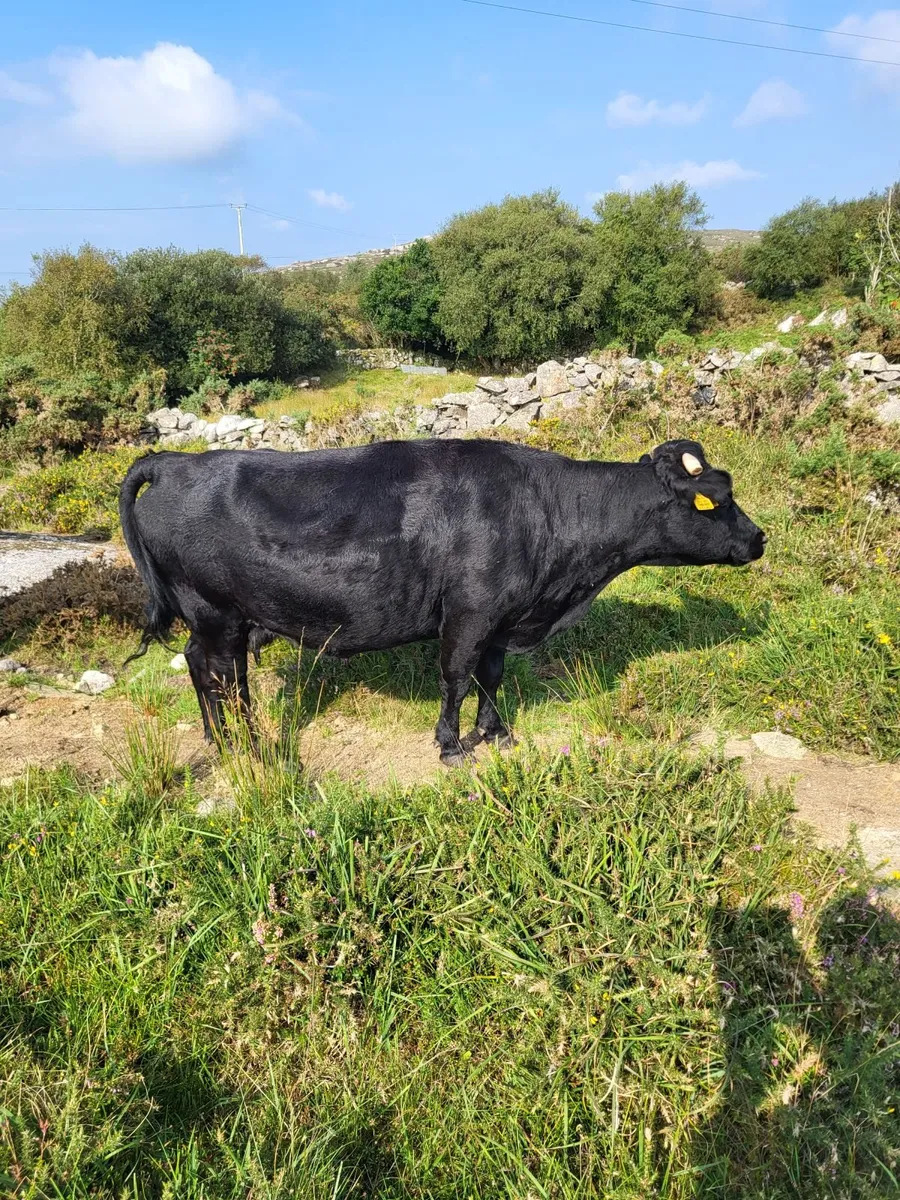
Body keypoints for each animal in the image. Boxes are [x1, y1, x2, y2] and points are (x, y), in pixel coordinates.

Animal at [119, 437, 765, 766]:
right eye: (720, 498)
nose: (760, 538)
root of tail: (175, 462)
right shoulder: (469, 614)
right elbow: (456, 677)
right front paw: (452, 746)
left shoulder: (502, 619)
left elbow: (491, 677)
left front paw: (497, 733)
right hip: (217, 614)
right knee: (221, 677)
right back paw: (249, 748)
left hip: (218, 619)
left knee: (208, 671)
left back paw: (222, 740)